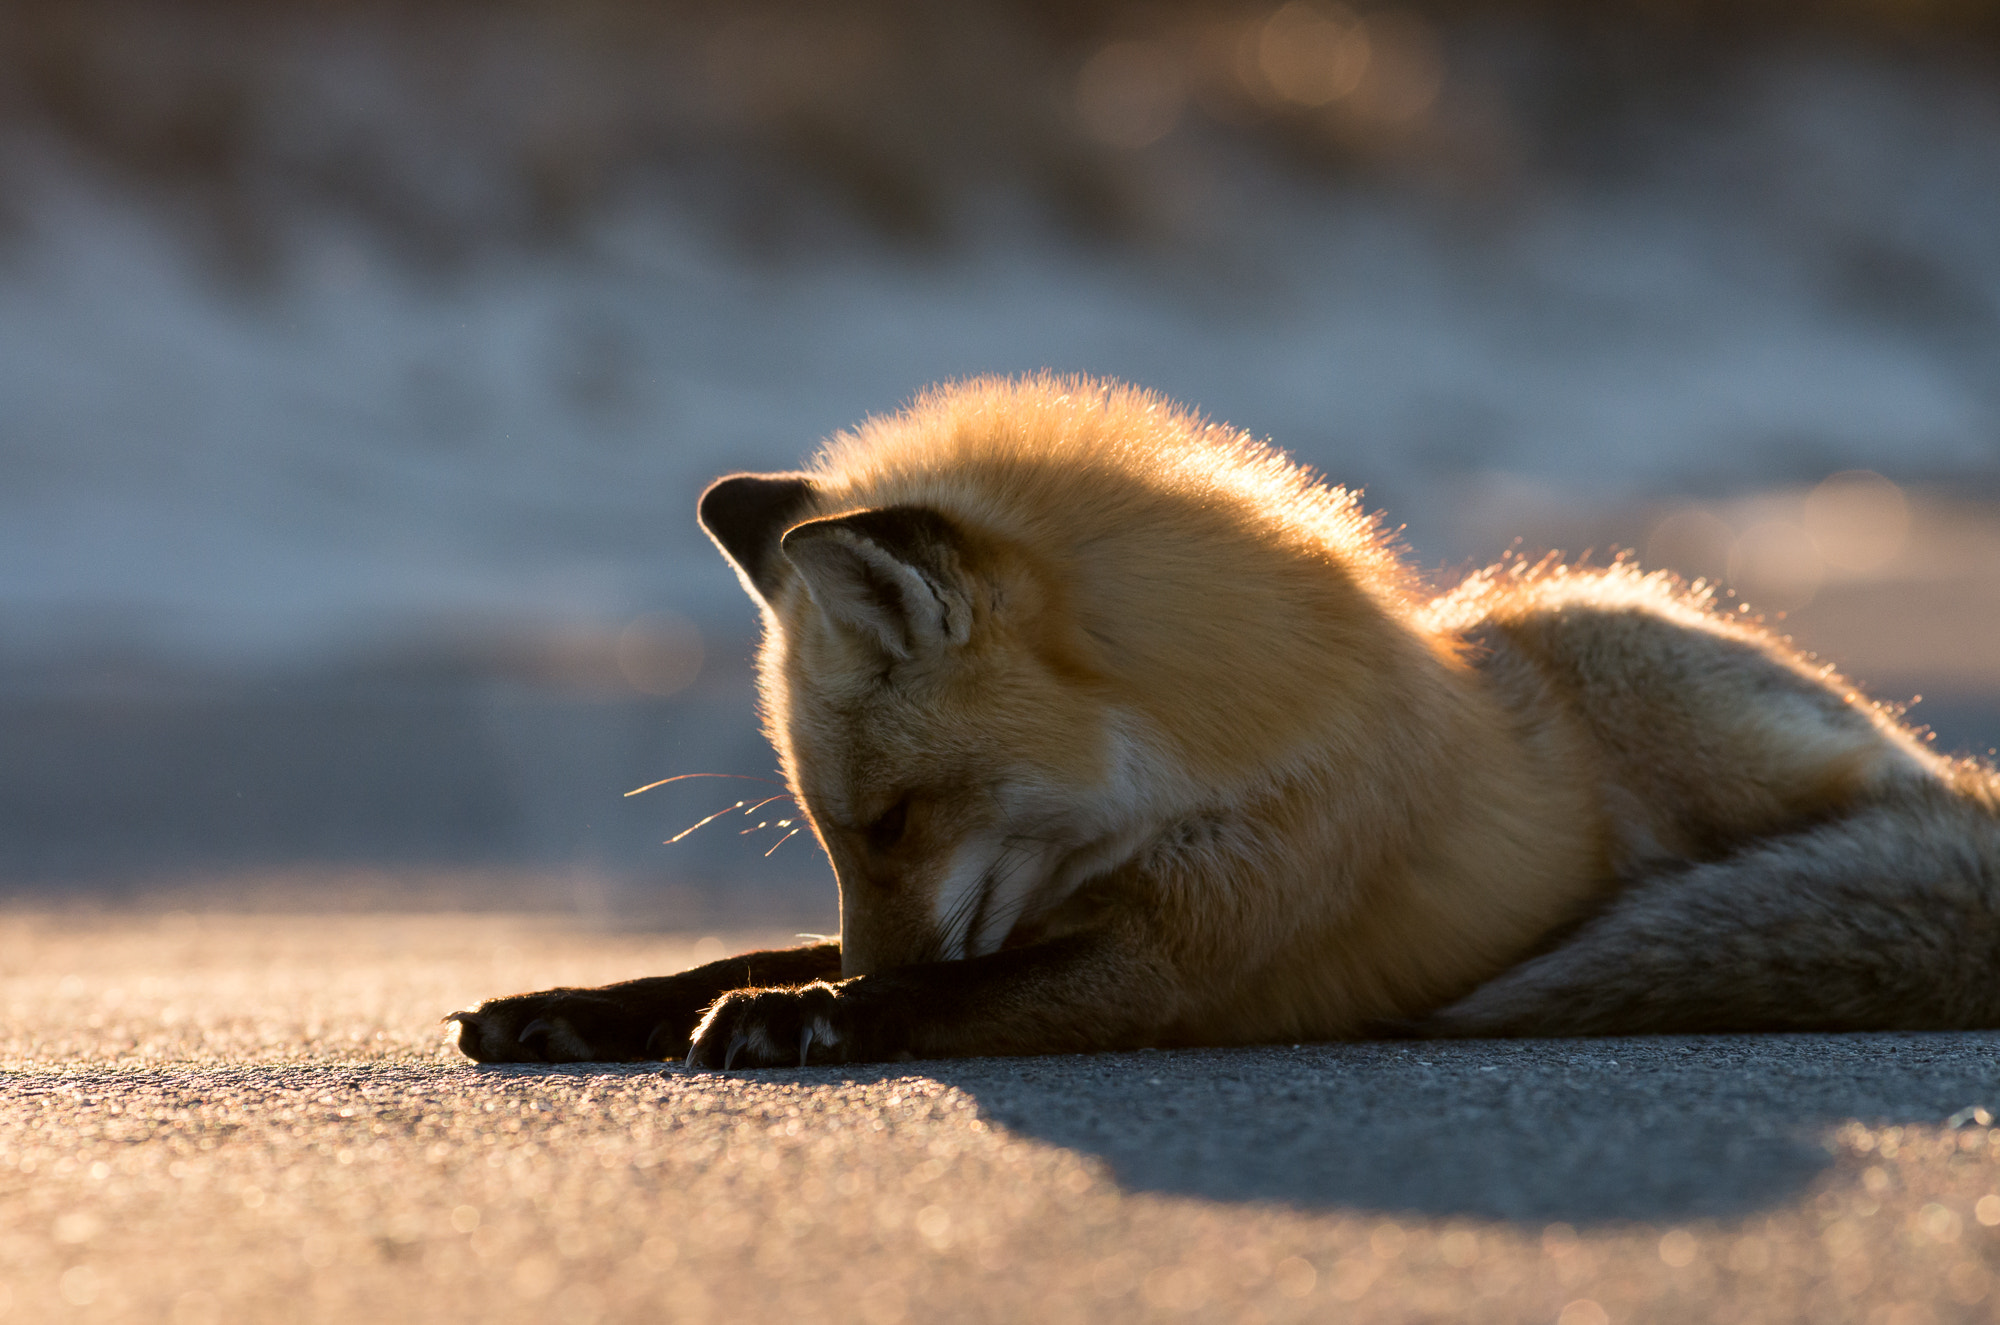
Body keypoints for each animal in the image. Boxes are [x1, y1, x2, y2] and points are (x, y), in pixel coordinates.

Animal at [448, 375, 2000, 1069]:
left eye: (892, 820)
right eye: (831, 834)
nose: (866, 949)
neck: (1174, 782)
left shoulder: (1179, 960)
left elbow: (930, 993)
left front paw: (815, 1010)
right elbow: (725, 955)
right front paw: (583, 1004)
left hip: (1647, 665)